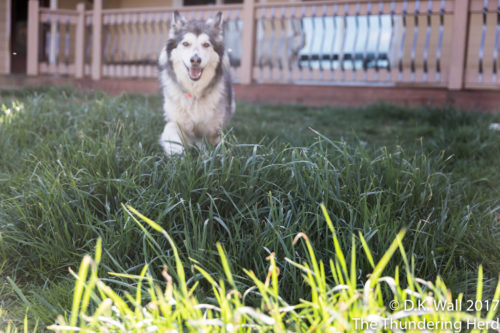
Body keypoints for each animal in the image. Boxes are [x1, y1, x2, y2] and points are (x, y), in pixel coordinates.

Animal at [158, 10, 234, 155]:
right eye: (186, 44)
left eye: (206, 44)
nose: (195, 60)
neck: (194, 93)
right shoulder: (177, 121)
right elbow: (170, 128)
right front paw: (176, 151)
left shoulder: (214, 130)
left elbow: (213, 142)